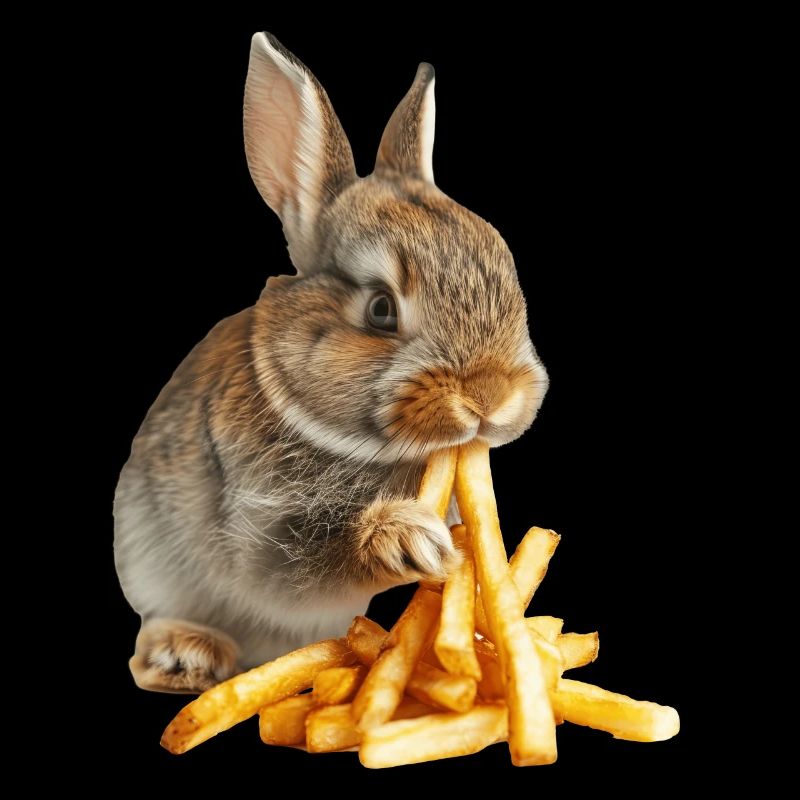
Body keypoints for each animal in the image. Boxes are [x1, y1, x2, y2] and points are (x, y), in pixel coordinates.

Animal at [114, 31, 549, 693]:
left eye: (505, 265)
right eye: (380, 310)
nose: (491, 396)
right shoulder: (259, 528)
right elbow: (302, 563)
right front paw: (405, 540)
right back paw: (184, 656)